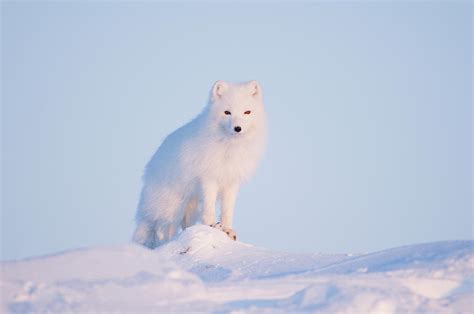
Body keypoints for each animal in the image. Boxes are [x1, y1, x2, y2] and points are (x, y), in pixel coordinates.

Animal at [132, 80, 266, 248]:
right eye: (227, 112)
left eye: (247, 112)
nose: (237, 128)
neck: (229, 148)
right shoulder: (208, 178)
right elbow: (209, 206)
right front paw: (212, 225)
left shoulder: (231, 182)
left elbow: (228, 209)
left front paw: (228, 230)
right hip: (173, 206)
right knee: (163, 230)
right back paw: (167, 242)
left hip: (189, 207)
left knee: (184, 225)